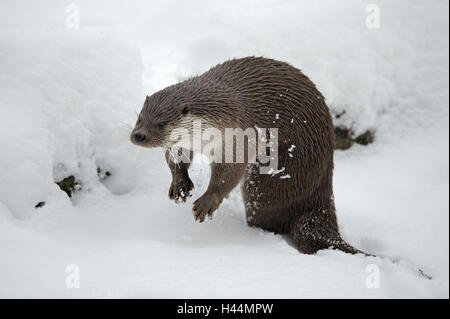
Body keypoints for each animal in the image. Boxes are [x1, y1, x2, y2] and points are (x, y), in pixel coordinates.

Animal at [132, 57, 364, 255]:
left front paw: (207, 201)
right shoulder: (184, 144)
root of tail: (321, 192)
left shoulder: (237, 135)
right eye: (139, 118)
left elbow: (230, 172)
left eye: (161, 123)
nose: (138, 135)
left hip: (273, 182)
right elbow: (177, 159)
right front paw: (179, 185)